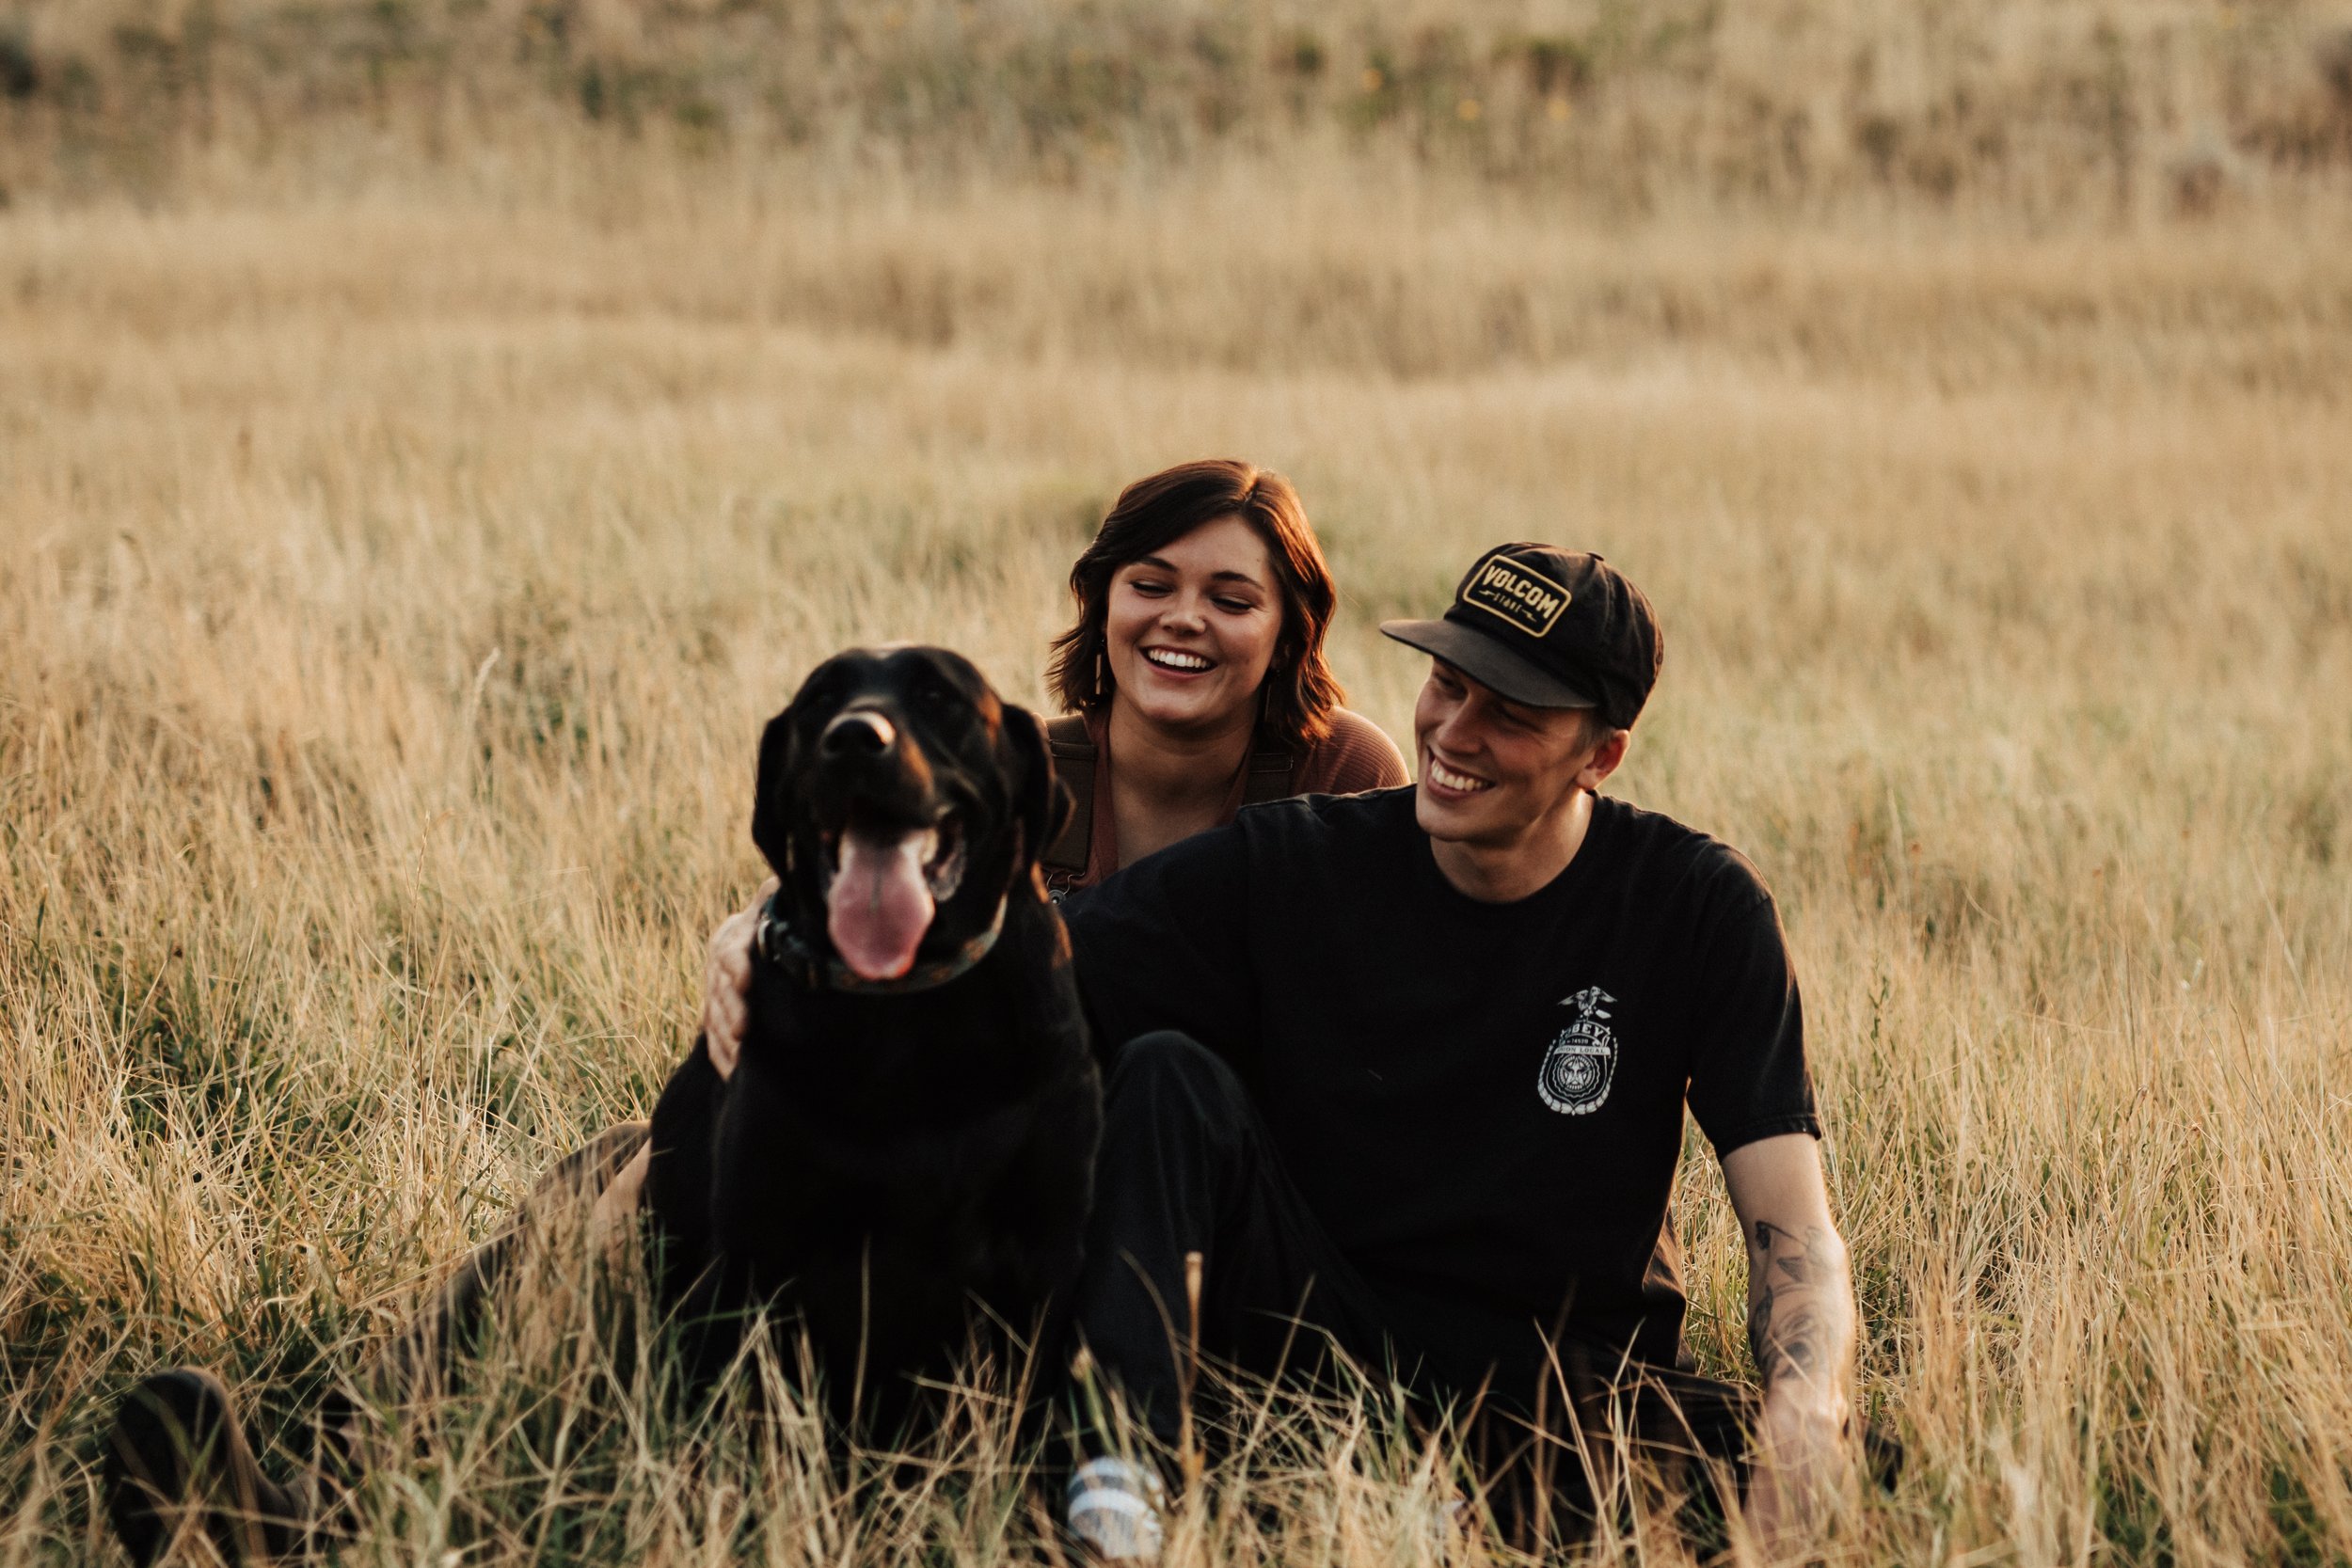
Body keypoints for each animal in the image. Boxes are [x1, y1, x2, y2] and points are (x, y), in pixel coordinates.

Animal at [101, 648, 1101, 1560]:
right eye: (822, 698)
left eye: (938, 695)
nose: (854, 739)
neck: (905, 1017)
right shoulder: (757, 1279)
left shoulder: (1036, 1277)